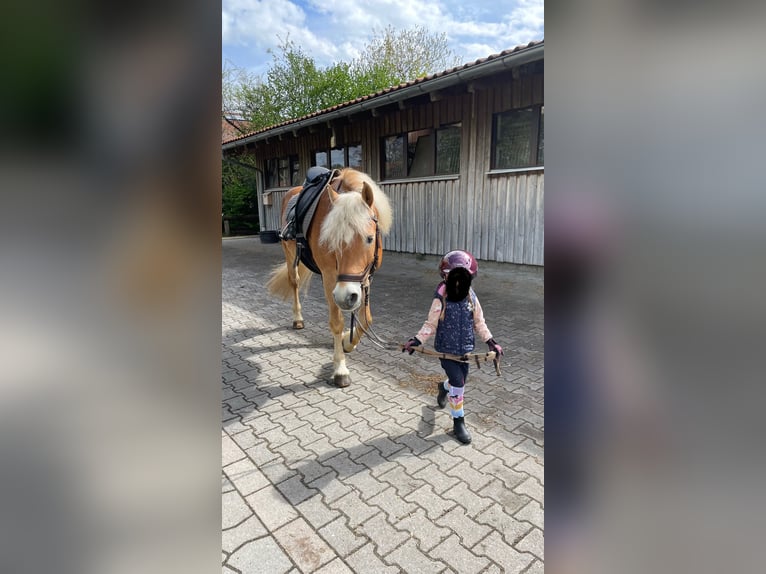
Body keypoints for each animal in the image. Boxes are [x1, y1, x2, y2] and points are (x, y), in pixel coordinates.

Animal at [266, 168, 393, 388]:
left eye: (369, 239)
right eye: (333, 241)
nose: (346, 296)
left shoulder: (365, 278)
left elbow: (366, 319)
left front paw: (348, 342)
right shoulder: (330, 277)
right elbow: (337, 322)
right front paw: (340, 369)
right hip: (290, 255)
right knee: (294, 282)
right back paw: (297, 319)